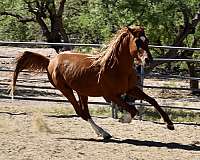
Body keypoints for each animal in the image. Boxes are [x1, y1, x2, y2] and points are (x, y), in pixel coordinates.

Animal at [10, 26, 173, 139]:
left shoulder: (131, 88)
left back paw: (103, 133)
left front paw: (169, 124)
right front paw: (124, 119)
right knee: (81, 113)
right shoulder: (111, 95)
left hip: (82, 92)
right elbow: (132, 109)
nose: (148, 60)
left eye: (147, 41)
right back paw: (103, 133)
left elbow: (152, 100)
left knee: (85, 112)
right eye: (137, 41)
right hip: (66, 90)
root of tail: (50, 61)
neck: (116, 67)